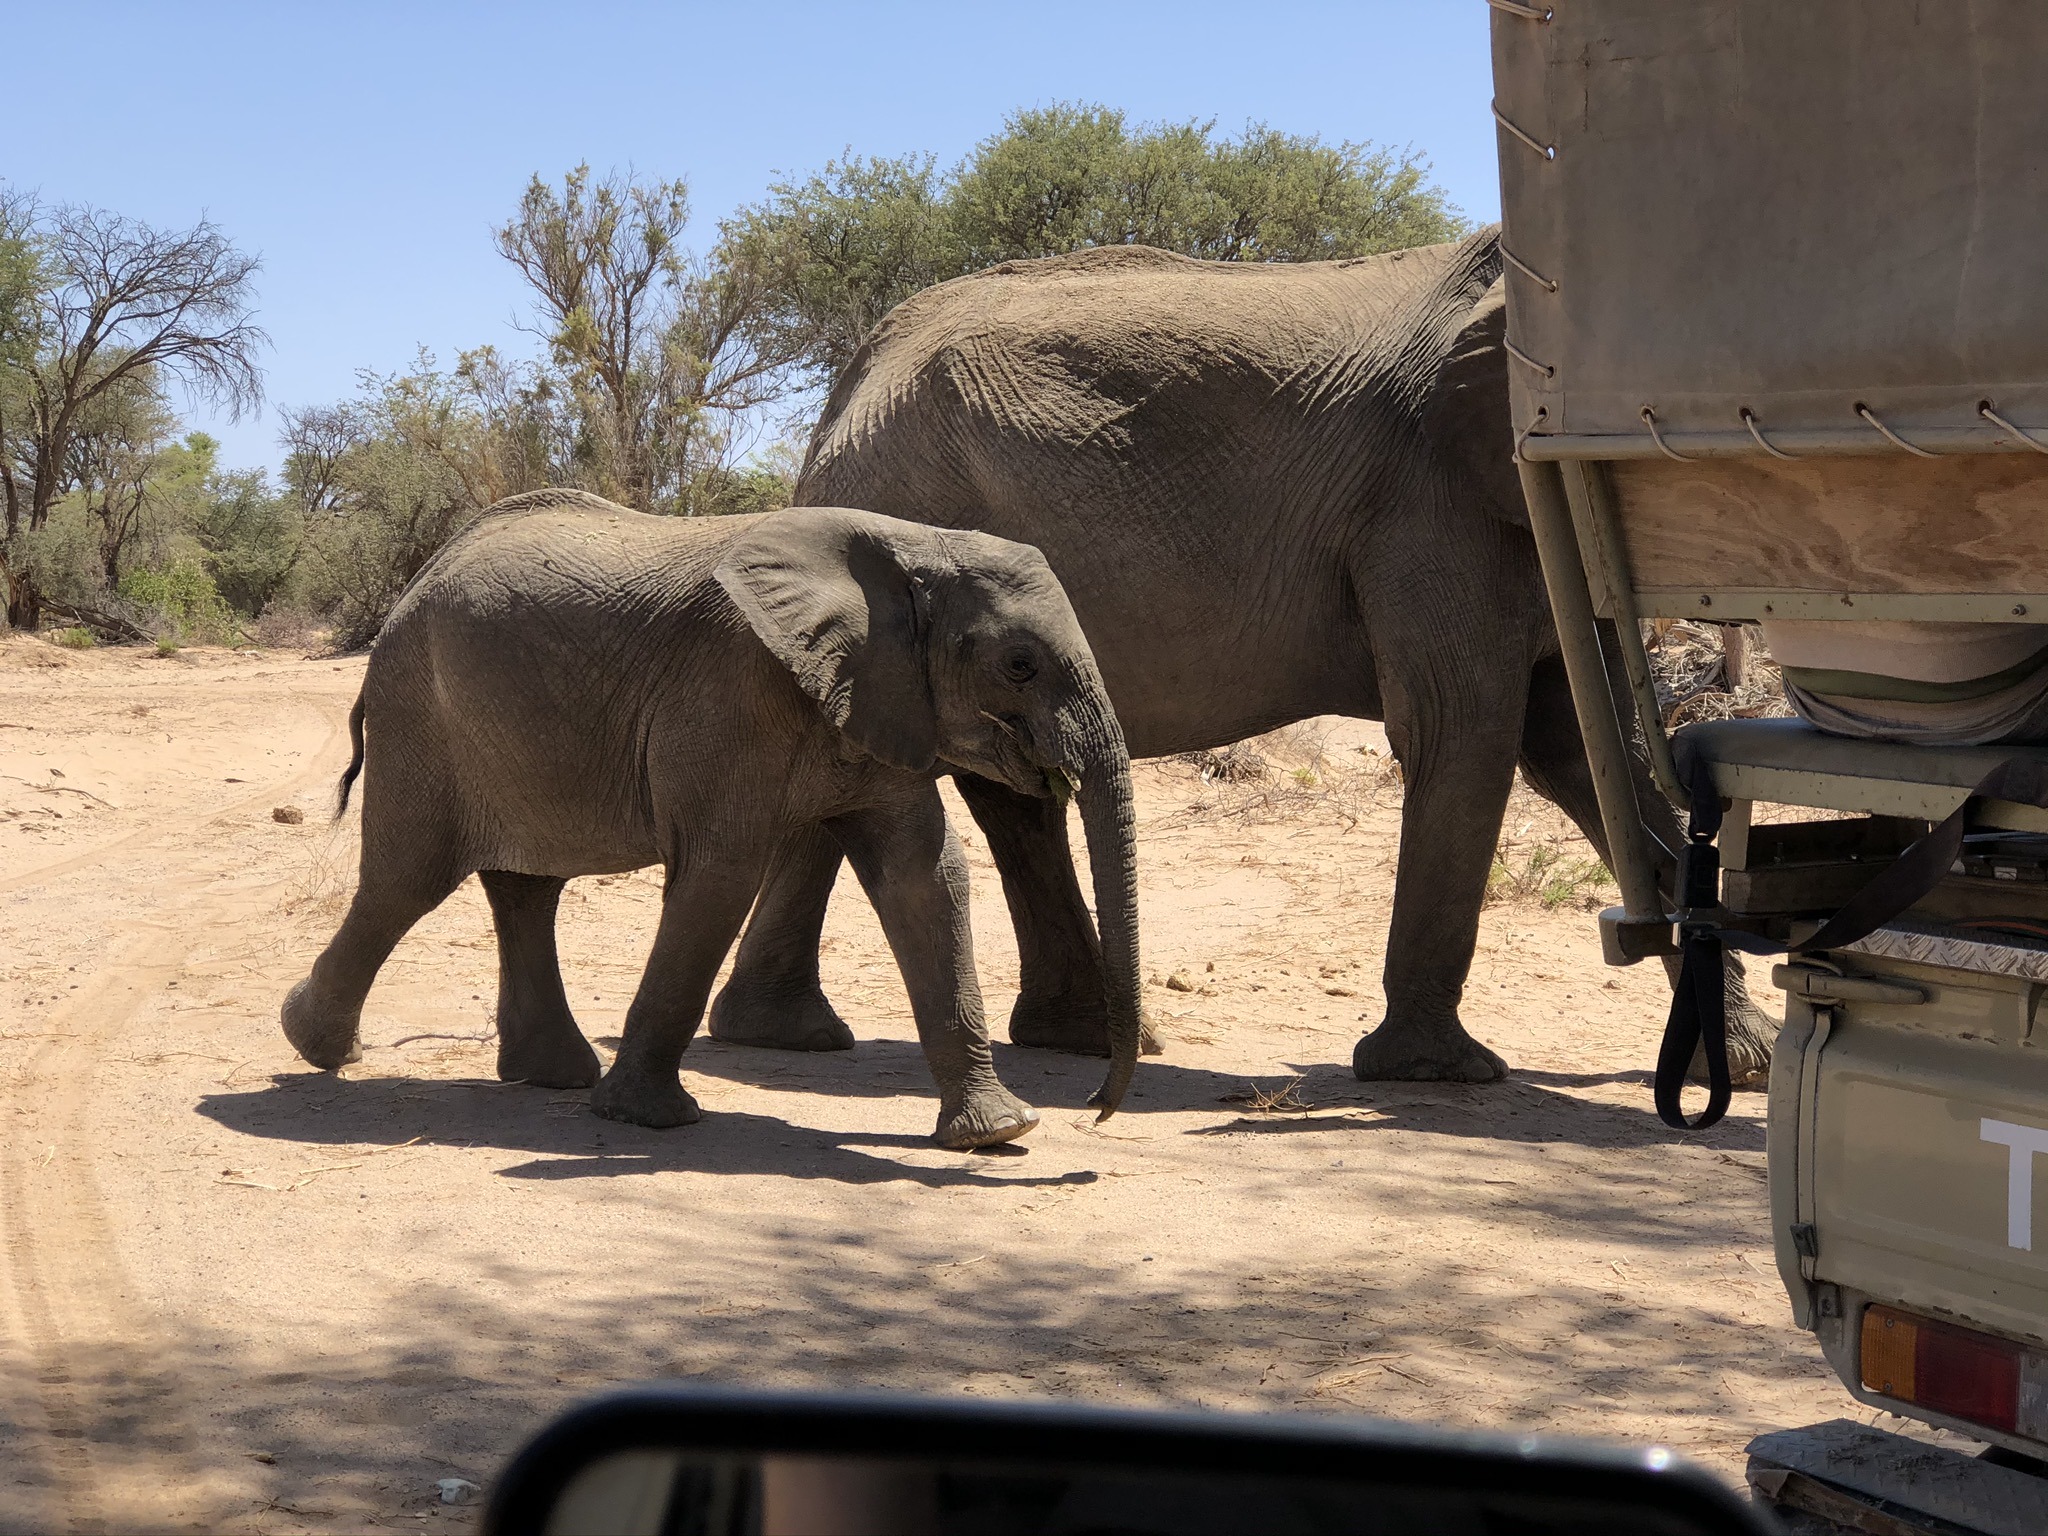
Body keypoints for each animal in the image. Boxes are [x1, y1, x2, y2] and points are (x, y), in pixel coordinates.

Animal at [280, 487, 1146, 1146]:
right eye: (1019, 665)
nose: (1097, 1112)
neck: (909, 549)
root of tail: (413, 585)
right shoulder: (730, 693)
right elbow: (721, 874)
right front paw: (648, 1122)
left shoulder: (886, 702)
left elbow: (926, 878)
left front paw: (999, 1133)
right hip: (420, 715)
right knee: (407, 881)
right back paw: (311, 1042)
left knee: (527, 887)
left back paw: (546, 1076)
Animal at [712, 228, 1769, 1089]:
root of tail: (854, 379)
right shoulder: (1426, 506)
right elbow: (1467, 730)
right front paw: (1437, 1073)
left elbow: (1585, 748)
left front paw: (1742, 1065)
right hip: (909, 504)